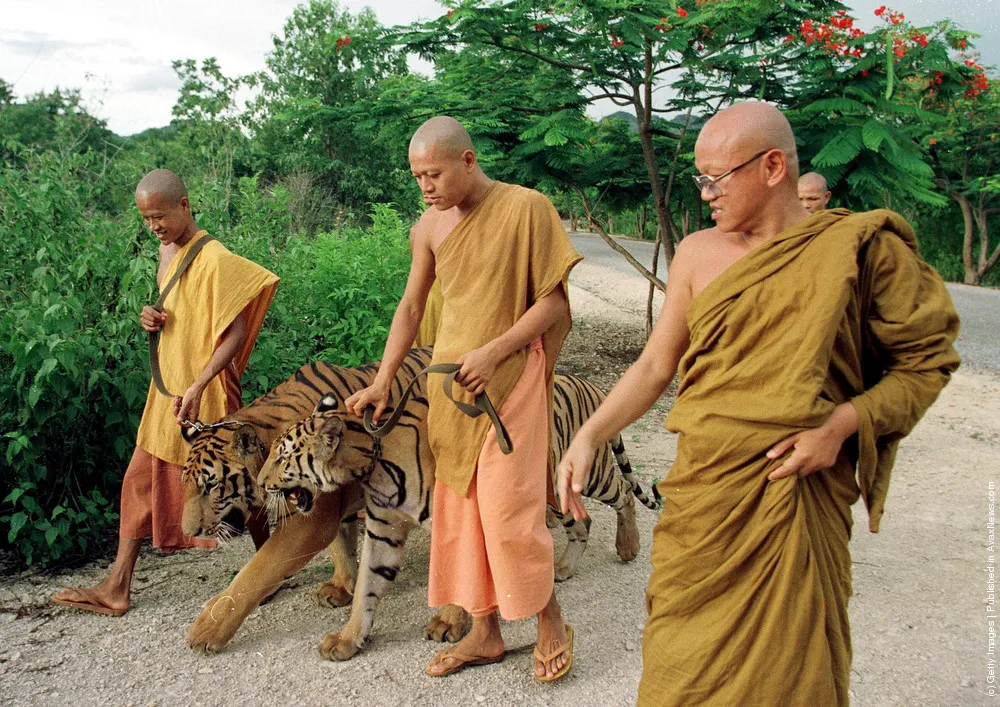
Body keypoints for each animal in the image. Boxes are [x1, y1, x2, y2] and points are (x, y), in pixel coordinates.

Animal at [258, 371, 659, 661]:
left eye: (282, 456)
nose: (261, 484)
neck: (372, 466)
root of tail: (590, 384)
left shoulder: (454, 525)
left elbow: (458, 578)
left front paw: (448, 625)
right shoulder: (383, 530)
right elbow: (366, 590)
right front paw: (347, 639)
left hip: (590, 474)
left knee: (624, 494)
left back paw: (628, 547)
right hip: (552, 495)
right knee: (583, 521)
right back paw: (563, 568)